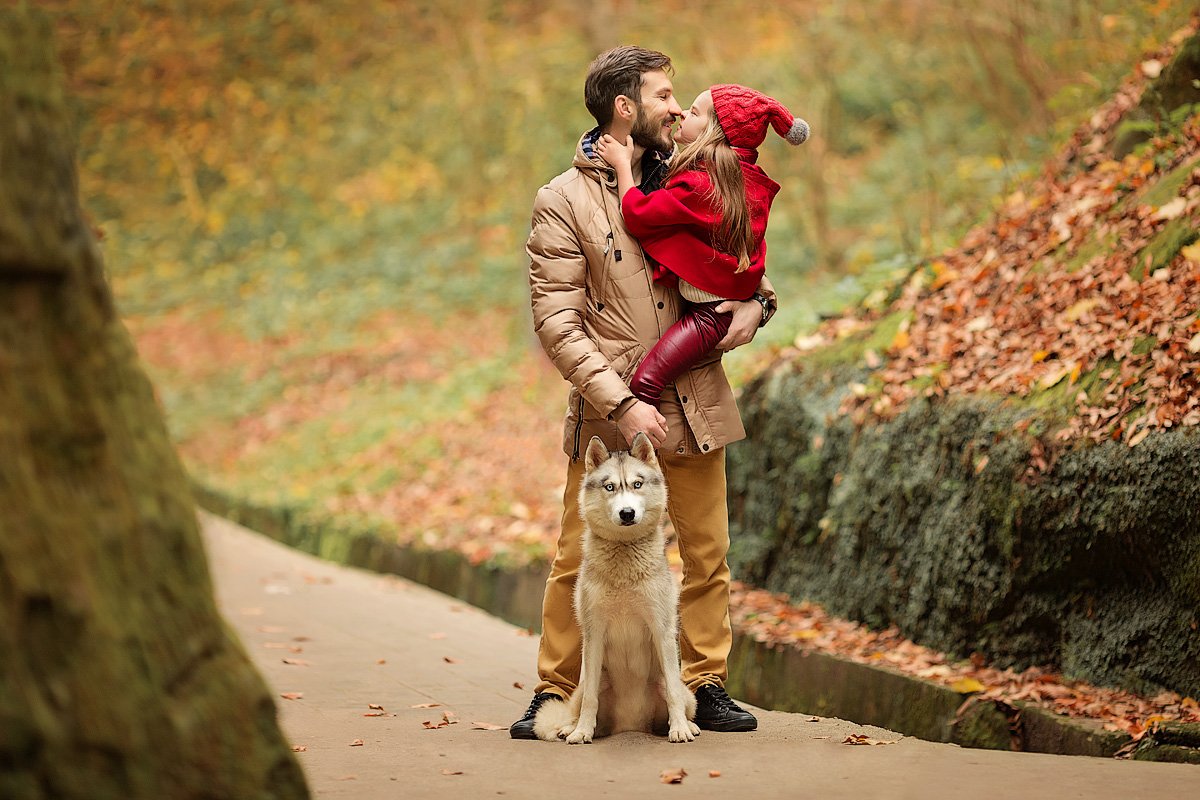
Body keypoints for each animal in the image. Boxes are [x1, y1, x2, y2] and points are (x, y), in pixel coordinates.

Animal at [532, 431, 700, 743]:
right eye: (610, 487)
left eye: (637, 484)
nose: (627, 513)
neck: (624, 555)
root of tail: (630, 725)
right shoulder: (594, 633)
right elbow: (590, 701)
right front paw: (582, 731)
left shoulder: (661, 629)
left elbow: (673, 692)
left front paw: (680, 729)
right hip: (592, 682)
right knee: (579, 705)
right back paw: (571, 727)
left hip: (678, 688)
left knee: (679, 697)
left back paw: (688, 724)